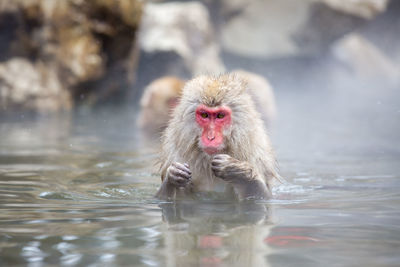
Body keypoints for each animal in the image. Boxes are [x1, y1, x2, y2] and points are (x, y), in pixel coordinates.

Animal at [155, 73, 280, 201]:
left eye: (220, 115)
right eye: (204, 115)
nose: (211, 137)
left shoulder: (257, 159)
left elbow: (262, 198)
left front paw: (237, 170)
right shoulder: (174, 155)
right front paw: (173, 176)